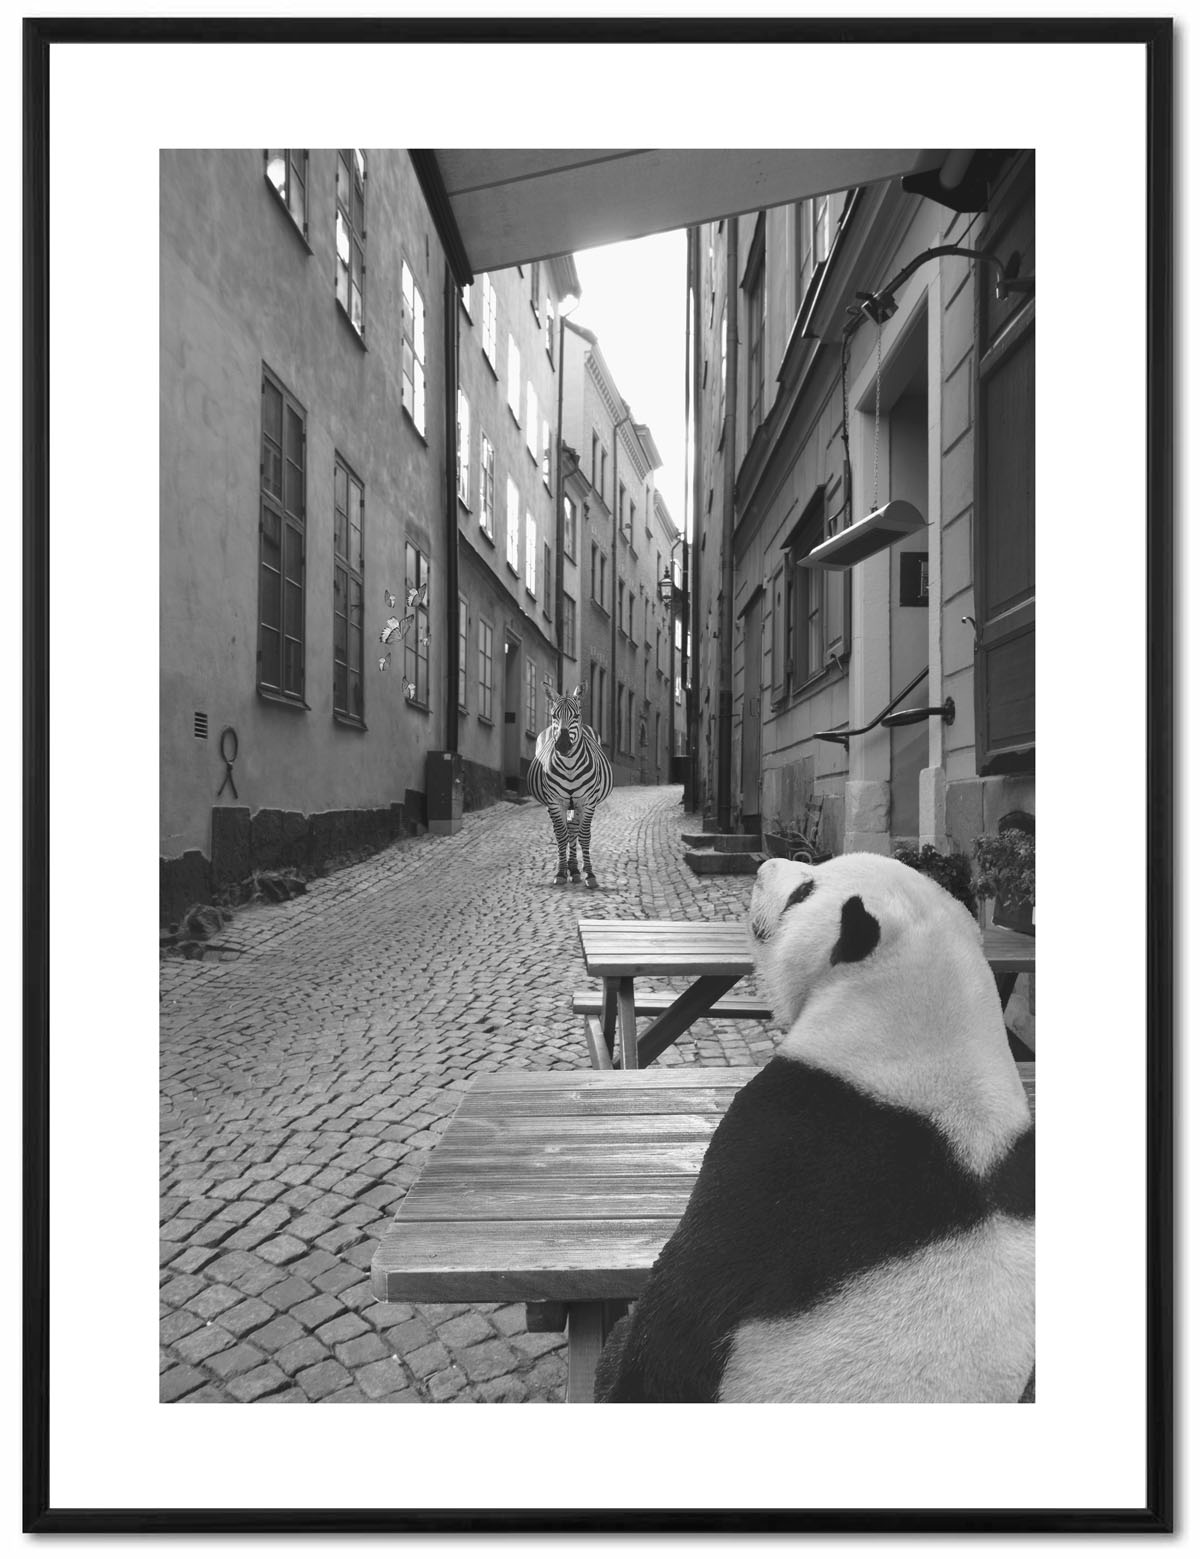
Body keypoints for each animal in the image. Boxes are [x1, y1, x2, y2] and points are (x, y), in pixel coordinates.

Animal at [526, 685, 614, 887]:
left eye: (576, 715)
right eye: (554, 715)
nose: (563, 745)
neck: (569, 766)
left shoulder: (587, 802)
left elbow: (584, 836)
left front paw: (590, 874)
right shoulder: (555, 802)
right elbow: (560, 835)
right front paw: (560, 872)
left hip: (578, 803)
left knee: (574, 830)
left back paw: (574, 869)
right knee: (566, 831)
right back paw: (569, 868)